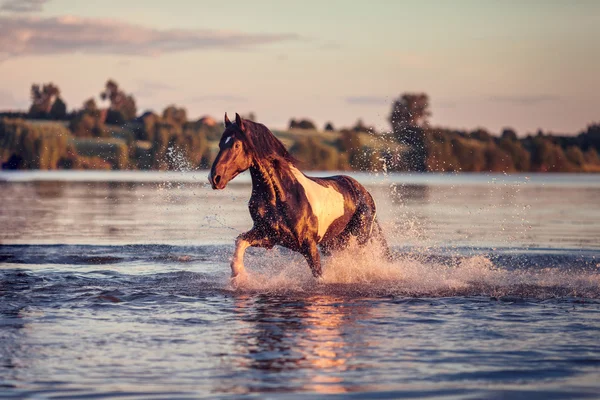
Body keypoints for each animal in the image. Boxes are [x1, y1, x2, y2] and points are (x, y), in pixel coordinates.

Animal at [209, 112, 392, 282]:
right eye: (220, 144)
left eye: (236, 145)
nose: (214, 178)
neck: (281, 198)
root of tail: (364, 192)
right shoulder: (267, 236)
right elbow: (240, 241)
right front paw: (238, 275)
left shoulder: (308, 245)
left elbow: (319, 276)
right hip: (332, 243)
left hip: (358, 238)